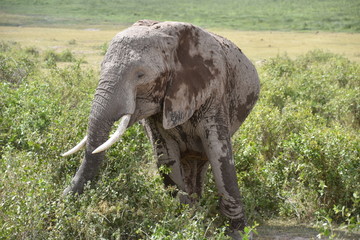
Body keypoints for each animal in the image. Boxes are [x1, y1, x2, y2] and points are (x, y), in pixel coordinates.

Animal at [61, 19, 258, 237]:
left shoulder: (214, 93)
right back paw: (196, 208)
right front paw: (186, 223)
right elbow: (165, 155)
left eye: (140, 75)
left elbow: (219, 154)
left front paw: (238, 232)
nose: (62, 198)